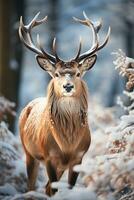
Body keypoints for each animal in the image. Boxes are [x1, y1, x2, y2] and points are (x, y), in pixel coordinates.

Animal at [18, 11, 110, 196]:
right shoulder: (49, 155)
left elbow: (67, 188)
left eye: (78, 73)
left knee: (45, 187)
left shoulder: (78, 157)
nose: (68, 86)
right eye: (57, 74)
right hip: (28, 152)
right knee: (31, 186)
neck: (67, 144)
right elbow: (54, 190)